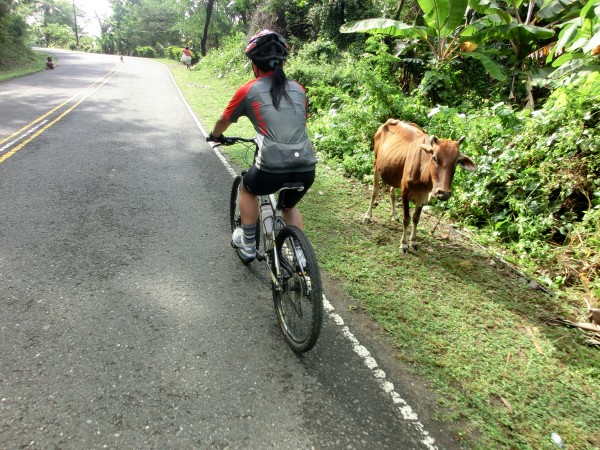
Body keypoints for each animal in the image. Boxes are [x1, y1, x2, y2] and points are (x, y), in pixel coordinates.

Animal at [364, 119, 476, 253]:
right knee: (375, 191)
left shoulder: (424, 196)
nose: (443, 193)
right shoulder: (405, 192)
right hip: (376, 164)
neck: (423, 173)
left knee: (392, 191)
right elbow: (406, 219)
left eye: (457, 161)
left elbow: (416, 218)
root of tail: (390, 121)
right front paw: (404, 244)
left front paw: (413, 241)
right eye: (434, 157)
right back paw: (368, 216)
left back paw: (394, 215)